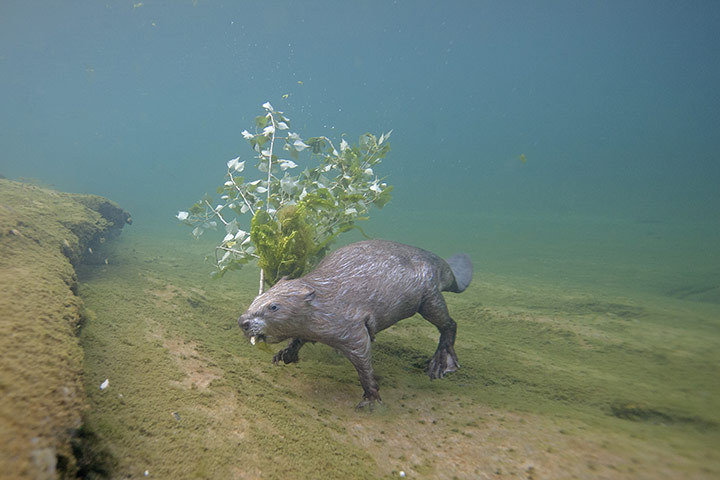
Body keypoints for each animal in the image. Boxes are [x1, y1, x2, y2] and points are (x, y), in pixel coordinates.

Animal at [238, 238, 472, 406]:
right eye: (257, 298)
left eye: (273, 307)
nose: (243, 322)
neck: (326, 297)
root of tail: (445, 267)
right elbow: (300, 338)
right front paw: (284, 355)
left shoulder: (350, 326)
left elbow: (362, 357)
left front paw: (371, 399)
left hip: (428, 298)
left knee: (449, 323)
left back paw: (442, 365)